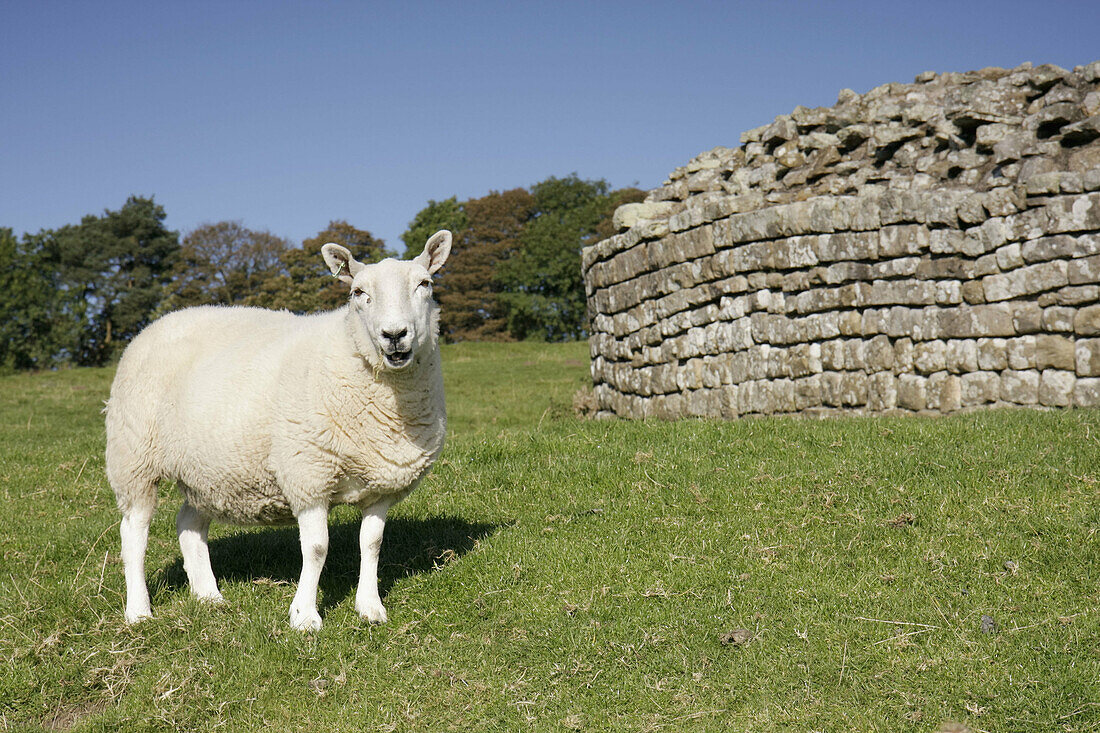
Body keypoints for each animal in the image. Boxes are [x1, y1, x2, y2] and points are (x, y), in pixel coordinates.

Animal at [100, 230, 451, 629]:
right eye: (358, 292)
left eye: (425, 284)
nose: (394, 334)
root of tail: (155, 324)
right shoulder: (308, 473)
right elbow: (317, 548)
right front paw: (305, 616)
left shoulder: (382, 484)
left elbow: (372, 545)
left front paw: (370, 607)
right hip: (134, 457)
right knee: (133, 533)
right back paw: (139, 610)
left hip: (206, 470)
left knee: (189, 523)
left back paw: (208, 596)